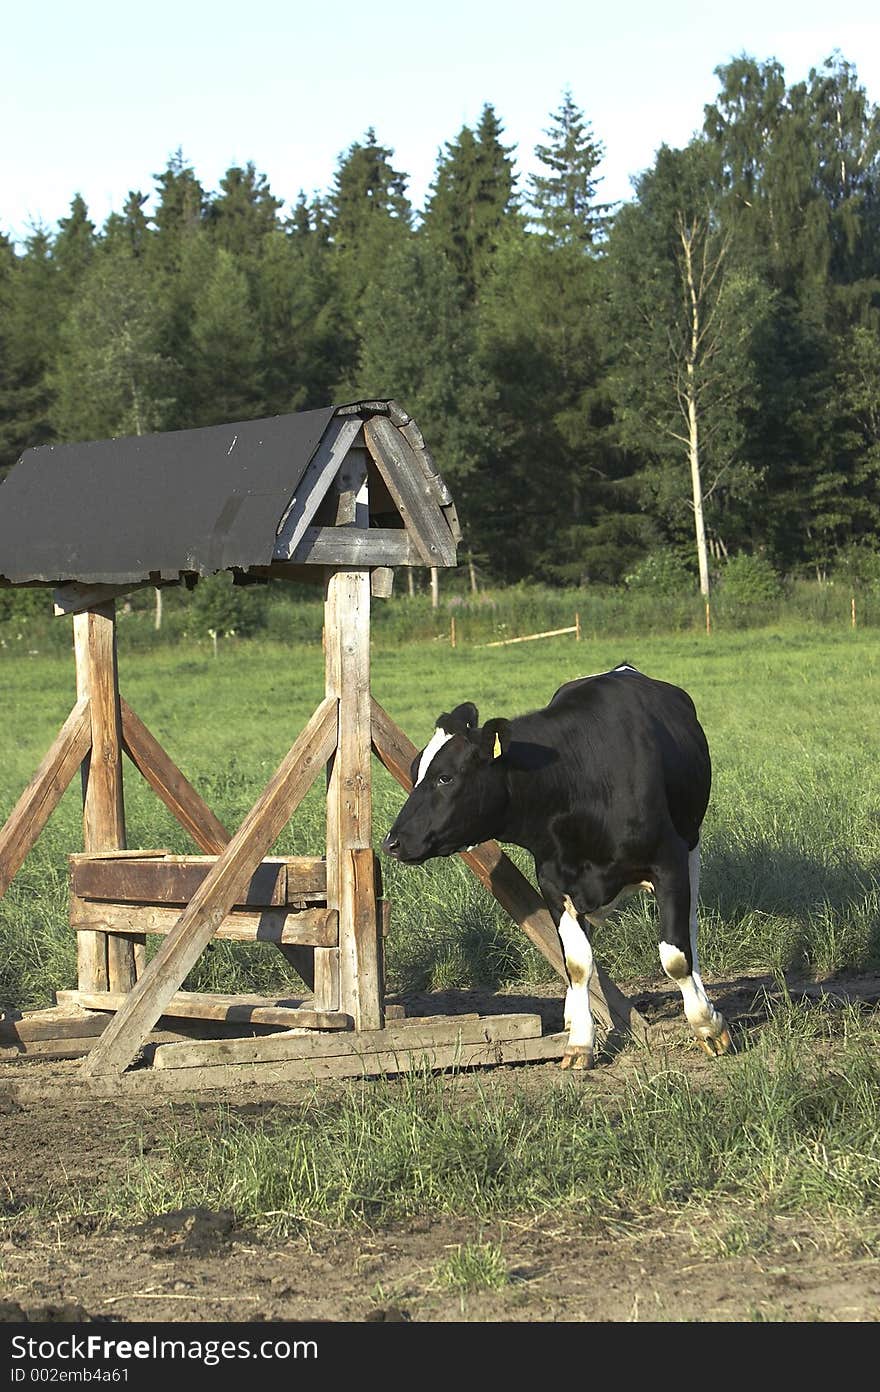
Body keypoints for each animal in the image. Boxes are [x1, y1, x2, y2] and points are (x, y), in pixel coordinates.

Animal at [381, 662, 729, 1063]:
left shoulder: (668, 861)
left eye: (445, 776)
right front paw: (579, 1041)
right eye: (414, 771)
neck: (580, 783)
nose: (392, 843)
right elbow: (577, 963)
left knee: (688, 931)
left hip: (690, 845)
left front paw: (708, 1026)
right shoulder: (553, 883)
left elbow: (675, 957)